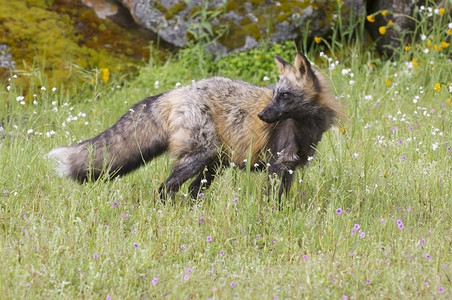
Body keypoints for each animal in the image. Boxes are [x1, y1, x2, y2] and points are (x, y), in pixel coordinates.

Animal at [46, 52, 342, 202]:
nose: (261, 115)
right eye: (276, 95)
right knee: (165, 188)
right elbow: (273, 200)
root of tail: (174, 92)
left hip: (212, 165)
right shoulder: (277, 164)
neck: (305, 128)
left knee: (190, 192)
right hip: (199, 157)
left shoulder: (290, 167)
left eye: (285, 96)